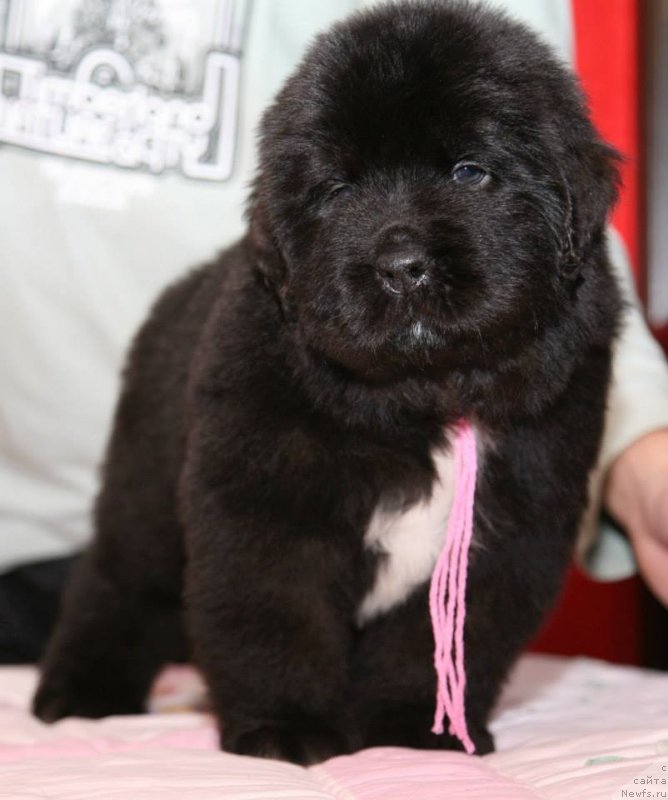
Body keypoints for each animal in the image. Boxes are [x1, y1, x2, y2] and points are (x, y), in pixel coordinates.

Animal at [35, 0, 620, 764]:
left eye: (470, 171)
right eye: (338, 190)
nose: (402, 265)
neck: (425, 396)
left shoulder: (508, 530)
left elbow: (433, 646)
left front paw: (415, 727)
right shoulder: (266, 504)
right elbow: (278, 621)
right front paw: (284, 728)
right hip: (145, 495)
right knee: (116, 586)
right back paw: (79, 693)